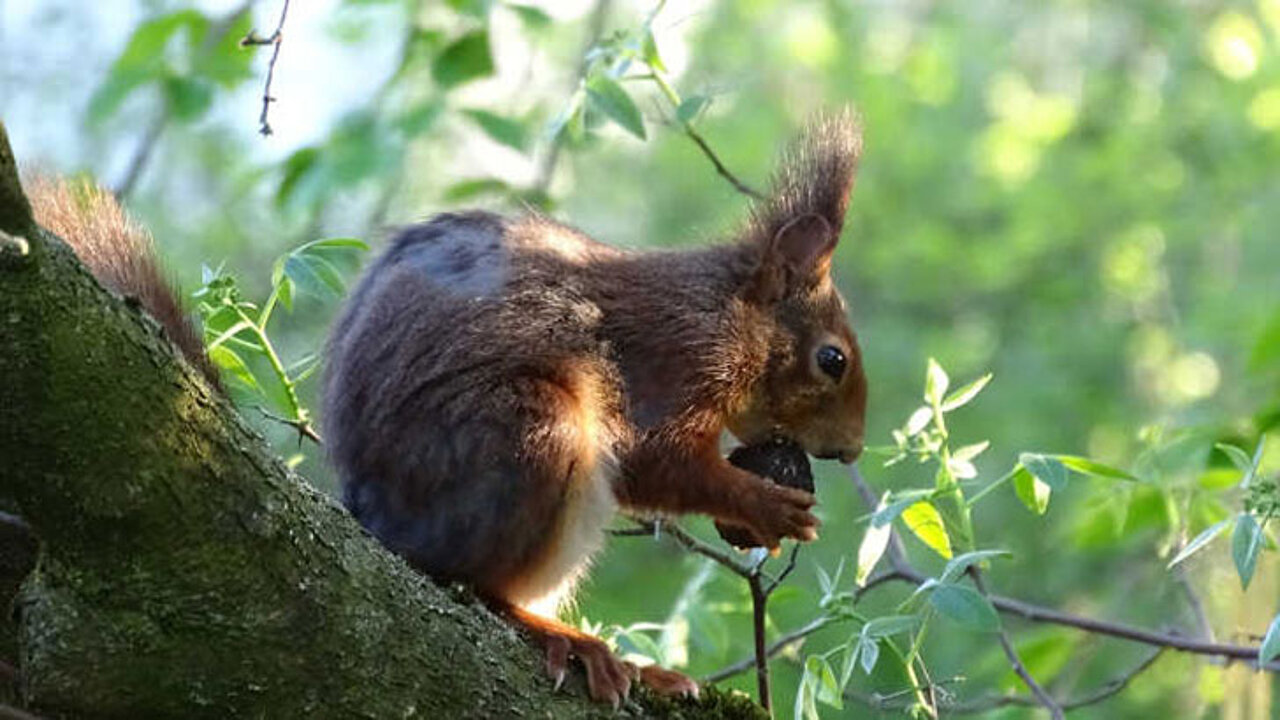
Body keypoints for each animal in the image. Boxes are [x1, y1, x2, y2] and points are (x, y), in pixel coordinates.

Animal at [323, 110, 868, 704]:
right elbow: (653, 461)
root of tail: (376, 517)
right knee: (476, 582)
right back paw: (567, 639)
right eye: (832, 359)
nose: (851, 449)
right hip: (530, 432)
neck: (729, 311)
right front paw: (764, 504)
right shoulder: (676, 361)